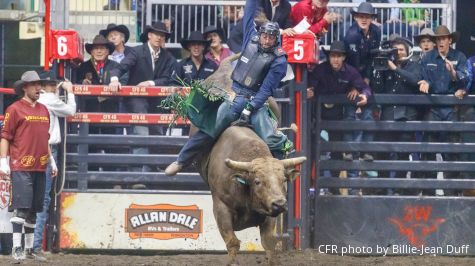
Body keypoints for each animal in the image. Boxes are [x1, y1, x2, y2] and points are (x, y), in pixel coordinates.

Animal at [195, 54, 306, 264]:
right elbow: (232, 242)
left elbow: (269, 242)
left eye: (283, 180)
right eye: (257, 181)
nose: (280, 203)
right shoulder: (220, 208)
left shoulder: (270, 215)